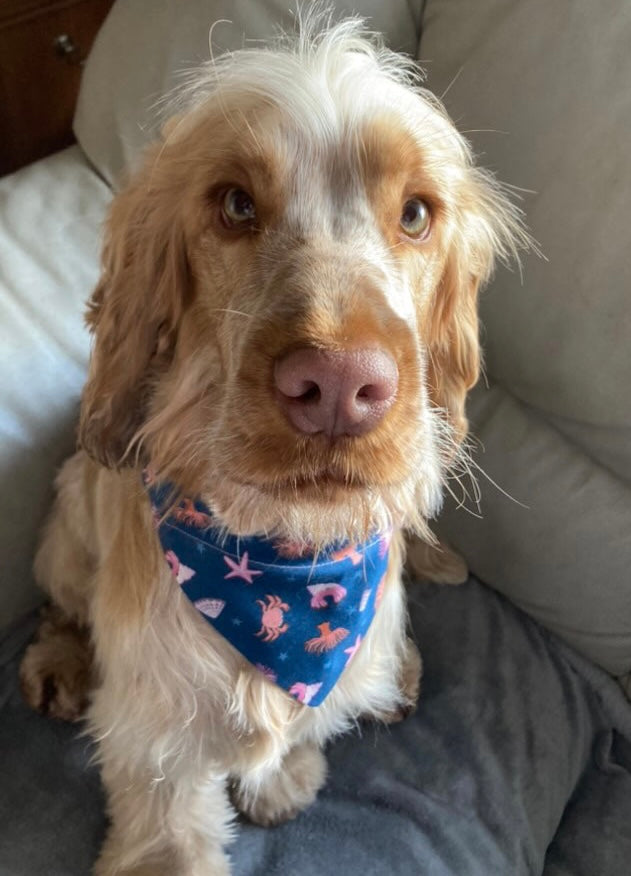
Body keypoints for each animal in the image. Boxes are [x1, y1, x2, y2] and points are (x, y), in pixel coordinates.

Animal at [19, 15, 528, 876]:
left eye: (416, 214)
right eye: (233, 204)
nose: (339, 386)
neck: (285, 558)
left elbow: (302, 723)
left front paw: (281, 773)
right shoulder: (158, 750)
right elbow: (168, 837)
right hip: (68, 518)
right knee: (62, 597)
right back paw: (57, 661)